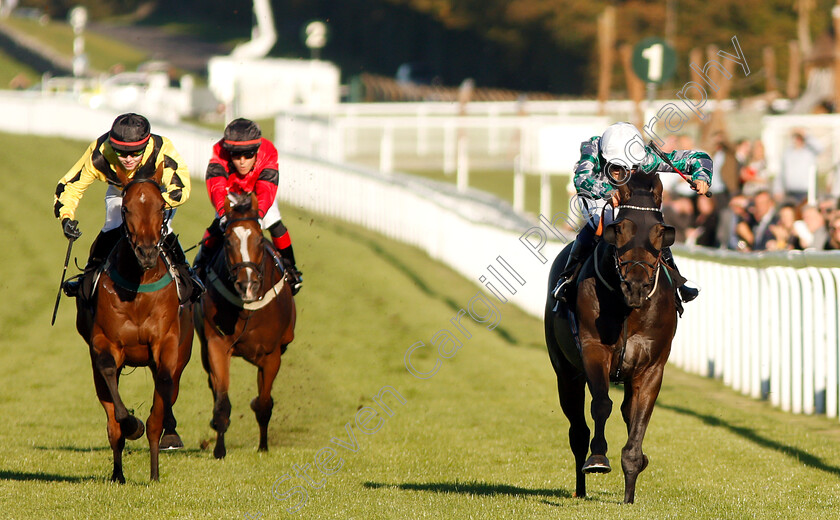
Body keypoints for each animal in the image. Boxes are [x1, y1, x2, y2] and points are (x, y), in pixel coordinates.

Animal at [74, 166, 194, 484]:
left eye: (162, 207)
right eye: (126, 208)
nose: (147, 253)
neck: (138, 287)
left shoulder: (166, 344)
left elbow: (162, 395)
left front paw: (156, 468)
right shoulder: (104, 342)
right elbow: (116, 404)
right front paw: (132, 425)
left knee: (169, 391)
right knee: (112, 421)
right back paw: (118, 473)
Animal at [194, 192, 296, 460]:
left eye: (259, 239)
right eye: (228, 241)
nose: (247, 284)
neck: (246, 308)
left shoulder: (271, 355)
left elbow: (264, 403)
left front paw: (263, 446)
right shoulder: (216, 346)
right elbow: (222, 401)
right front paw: (219, 449)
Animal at [548, 172, 680, 504]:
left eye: (660, 231)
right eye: (619, 229)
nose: (637, 285)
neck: (627, 309)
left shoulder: (651, 367)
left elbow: (638, 420)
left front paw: (631, 485)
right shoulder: (595, 350)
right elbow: (601, 404)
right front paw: (597, 459)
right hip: (566, 373)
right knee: (577, 431)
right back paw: (580, 489)